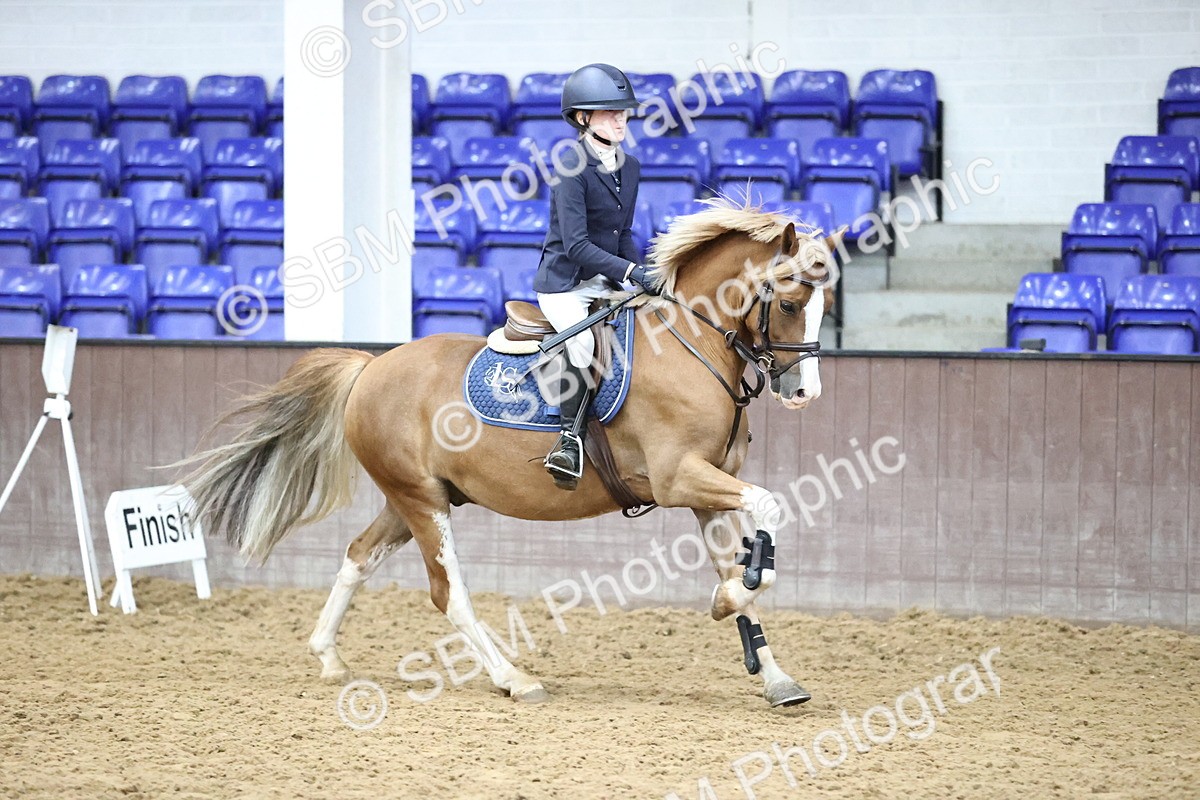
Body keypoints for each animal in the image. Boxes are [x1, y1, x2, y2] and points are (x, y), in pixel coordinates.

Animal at [179, 197, 841, 707]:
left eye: (824, 307)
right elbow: (767, 519)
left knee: (358, 556)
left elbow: (742, 569)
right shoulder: (679, 479)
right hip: (421, 502)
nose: (804, 393)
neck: (691, 344)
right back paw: (513, 678)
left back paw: (329, 656)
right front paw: (728, 600)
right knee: (449, 593)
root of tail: (372, 366)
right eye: (788, 303)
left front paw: (774, 675)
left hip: (414, 498)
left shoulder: (708, 491)